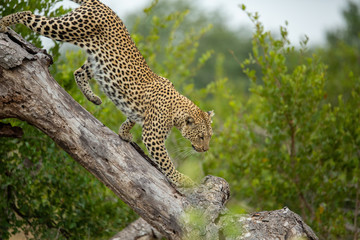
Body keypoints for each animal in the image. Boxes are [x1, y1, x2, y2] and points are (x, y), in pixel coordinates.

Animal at [0, 0, 214, 188]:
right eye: (201, 136)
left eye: (209, 136)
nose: (205, 149)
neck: (176, 109)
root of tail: (101, 4)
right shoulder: (152, 136)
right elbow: (166, 161)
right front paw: (181, 179)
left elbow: (131, 118)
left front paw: (124, 133)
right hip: (68, 27)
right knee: (29, 16)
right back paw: (3, 24)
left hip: (97, 59)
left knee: (78, 72)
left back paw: (93, 98)